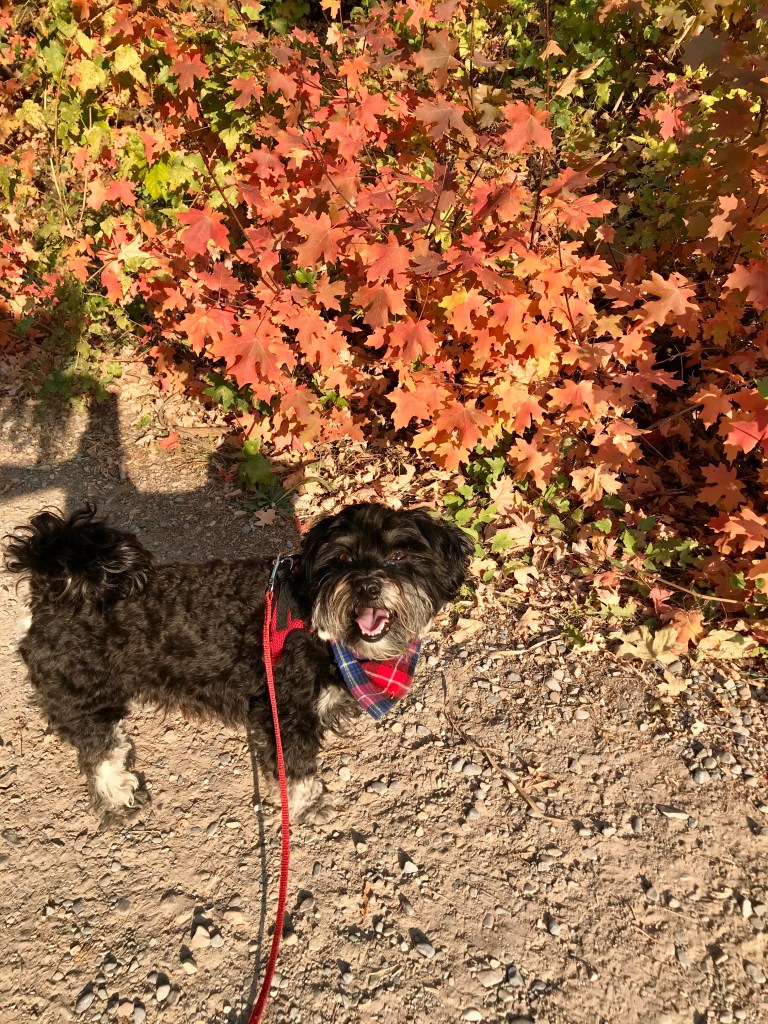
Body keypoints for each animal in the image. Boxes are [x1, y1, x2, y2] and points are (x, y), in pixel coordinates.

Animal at [5, 503, 472, 825]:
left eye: (399, 558)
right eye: (341, 559)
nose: (368, 585)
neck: (313, 619)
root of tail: (51, 591)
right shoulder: (287, 711)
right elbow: (297, 767)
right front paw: (309, 804)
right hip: (85, 696)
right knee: (99, 753)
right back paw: (119, 798)